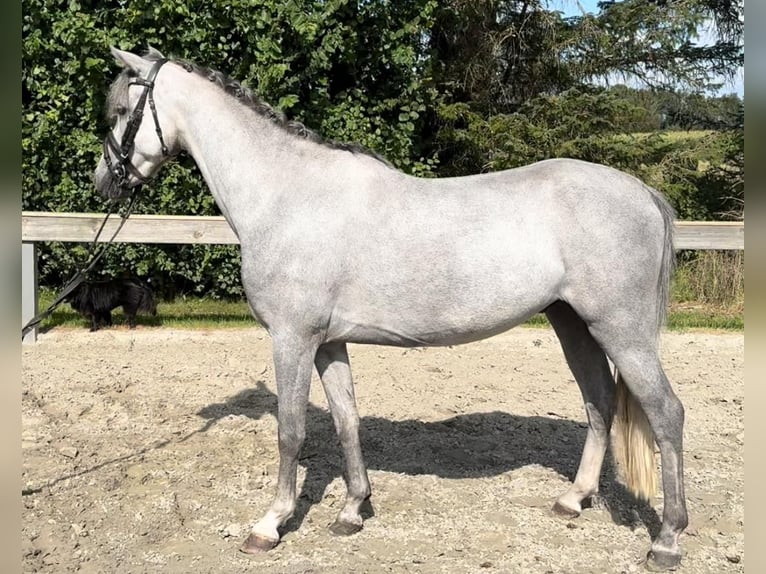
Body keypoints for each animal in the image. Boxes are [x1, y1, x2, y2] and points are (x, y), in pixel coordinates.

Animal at [93, 47, 687, 570]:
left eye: (121, 112)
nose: (103, 183)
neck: (289, 196)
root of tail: (642, 192)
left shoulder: (292, 338)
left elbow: (290, 431)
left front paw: (269, 525)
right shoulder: (329, 342)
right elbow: (346, 421)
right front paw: (352, 511)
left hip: (622, 331)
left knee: (666, 413)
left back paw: (667, 541)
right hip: (573, 324)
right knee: (598, 402)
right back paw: (572, 500)